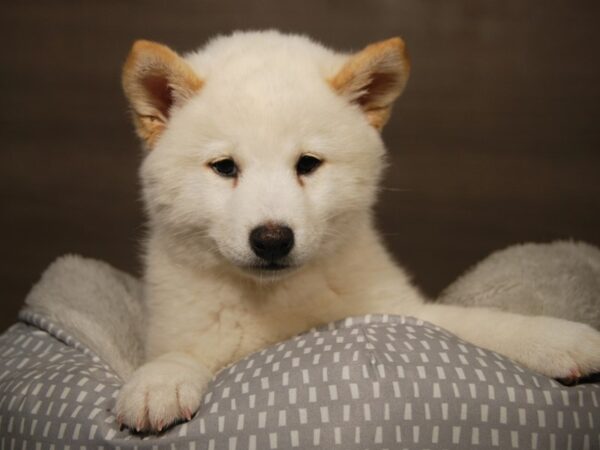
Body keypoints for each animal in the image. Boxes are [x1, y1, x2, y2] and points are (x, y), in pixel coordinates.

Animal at [116, 30, 600, 432]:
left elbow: (483, 324)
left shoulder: (402, 311)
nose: (272, 239)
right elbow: (179, 354)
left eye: (308, 164)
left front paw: (557, 339)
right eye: (224, 168)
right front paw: (159, 381)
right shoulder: (178, 330)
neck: (276, 301)